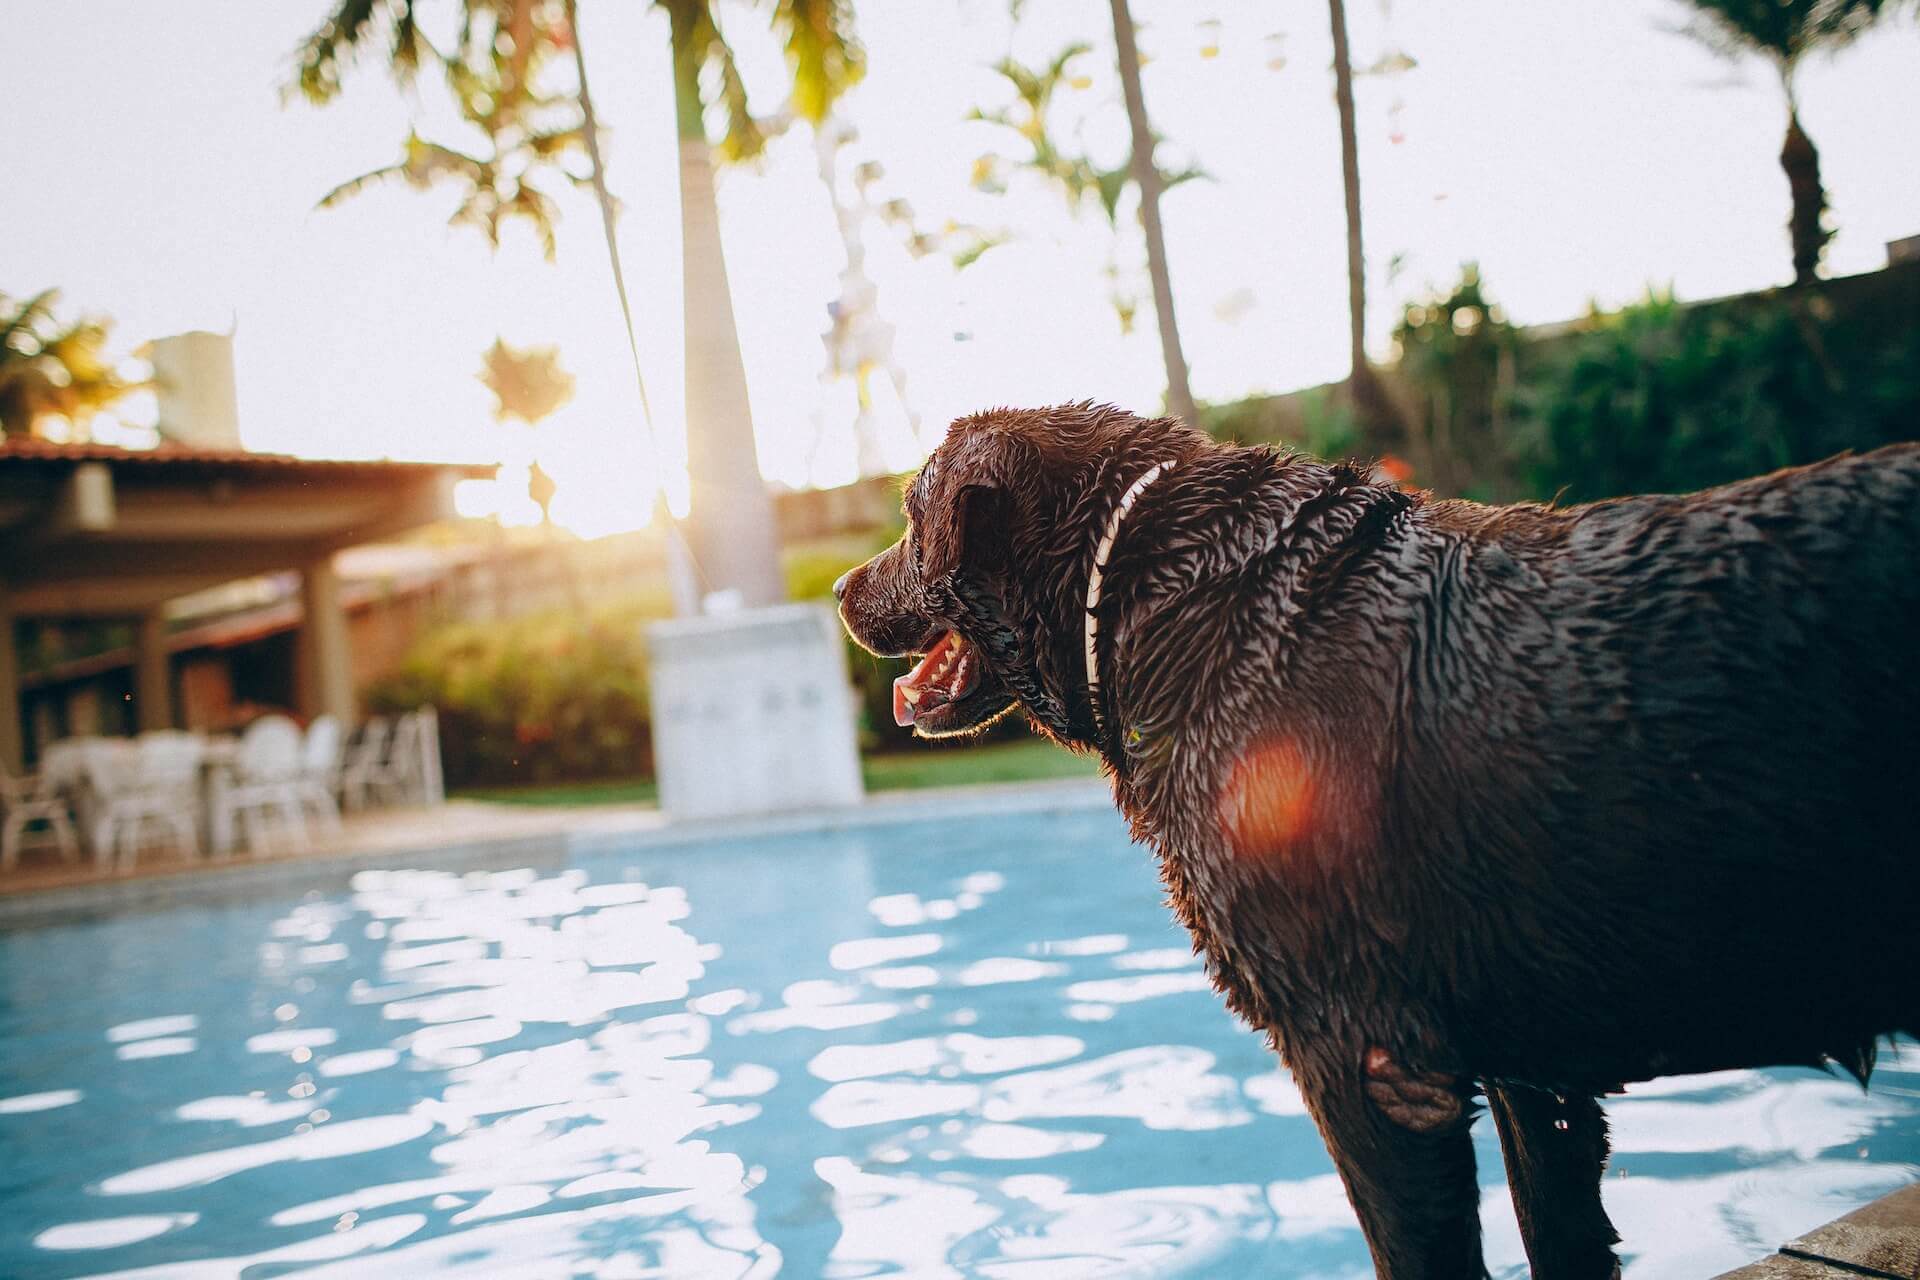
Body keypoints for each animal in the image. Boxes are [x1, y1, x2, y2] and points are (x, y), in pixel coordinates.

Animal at [833, 402, 1920, 1278]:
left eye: (909, 517)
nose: (840, 586)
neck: (1165, 595)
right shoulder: (1536, 1071)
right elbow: (1561, 1234)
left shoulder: (1363, 1059)